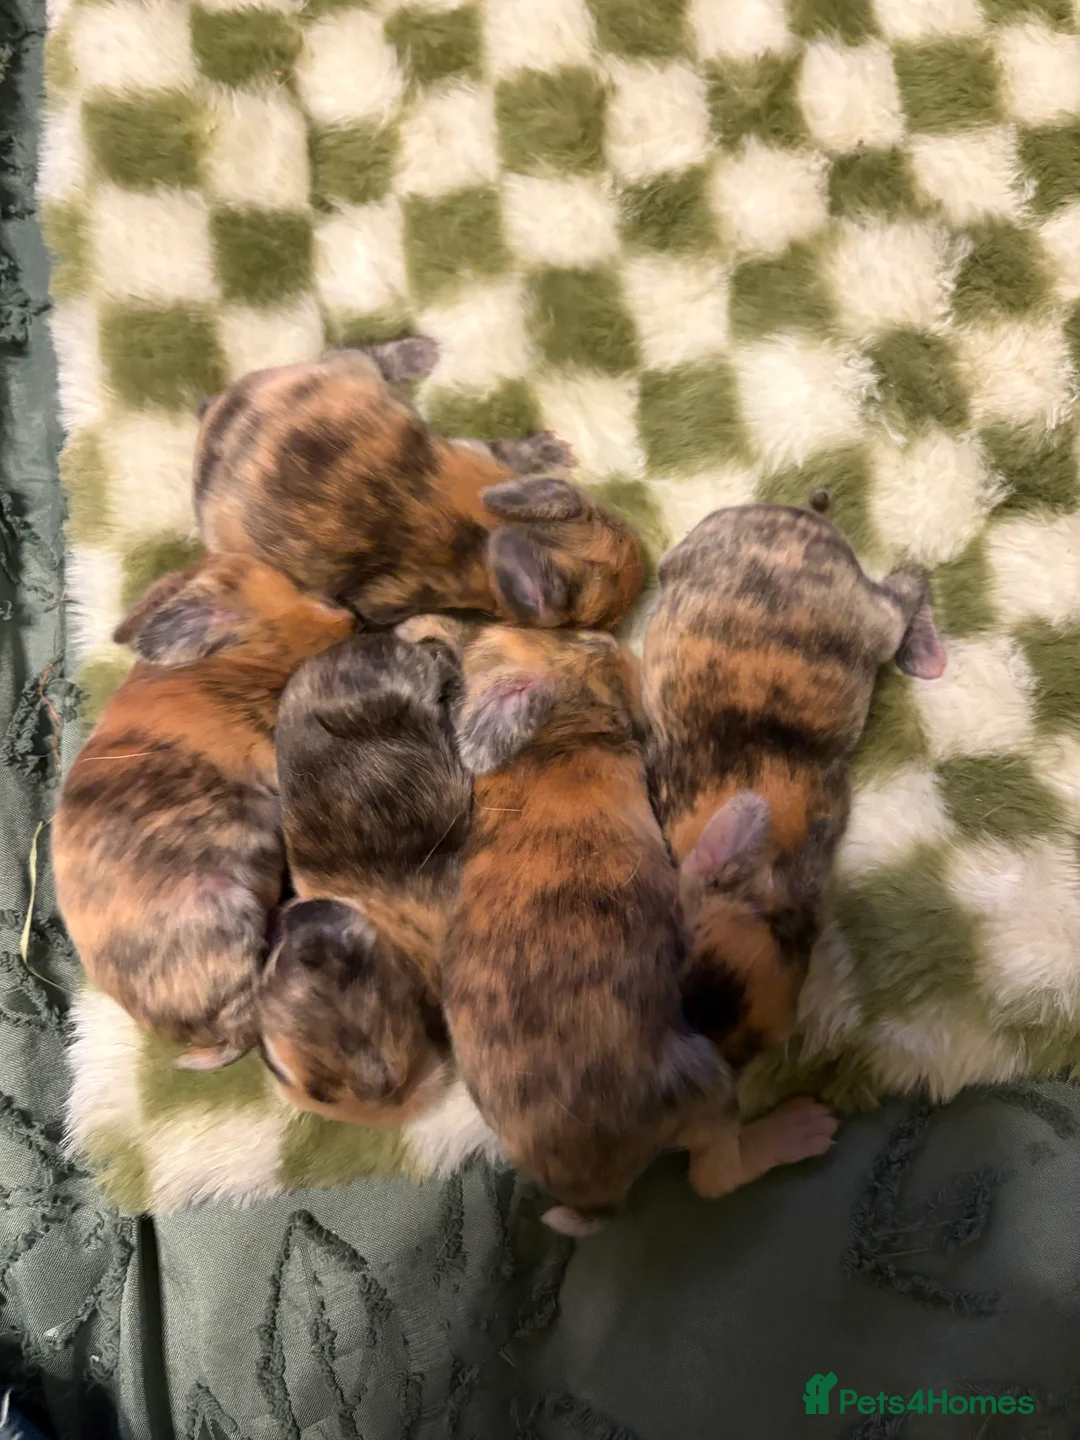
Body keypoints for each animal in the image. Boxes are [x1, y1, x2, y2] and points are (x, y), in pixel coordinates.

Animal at [400, 617, 736, 1234]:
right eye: (581, 645)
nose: (615, 644)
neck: (547, 742)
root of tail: (596, 1197)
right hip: (702, 1073)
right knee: (717, 1173)